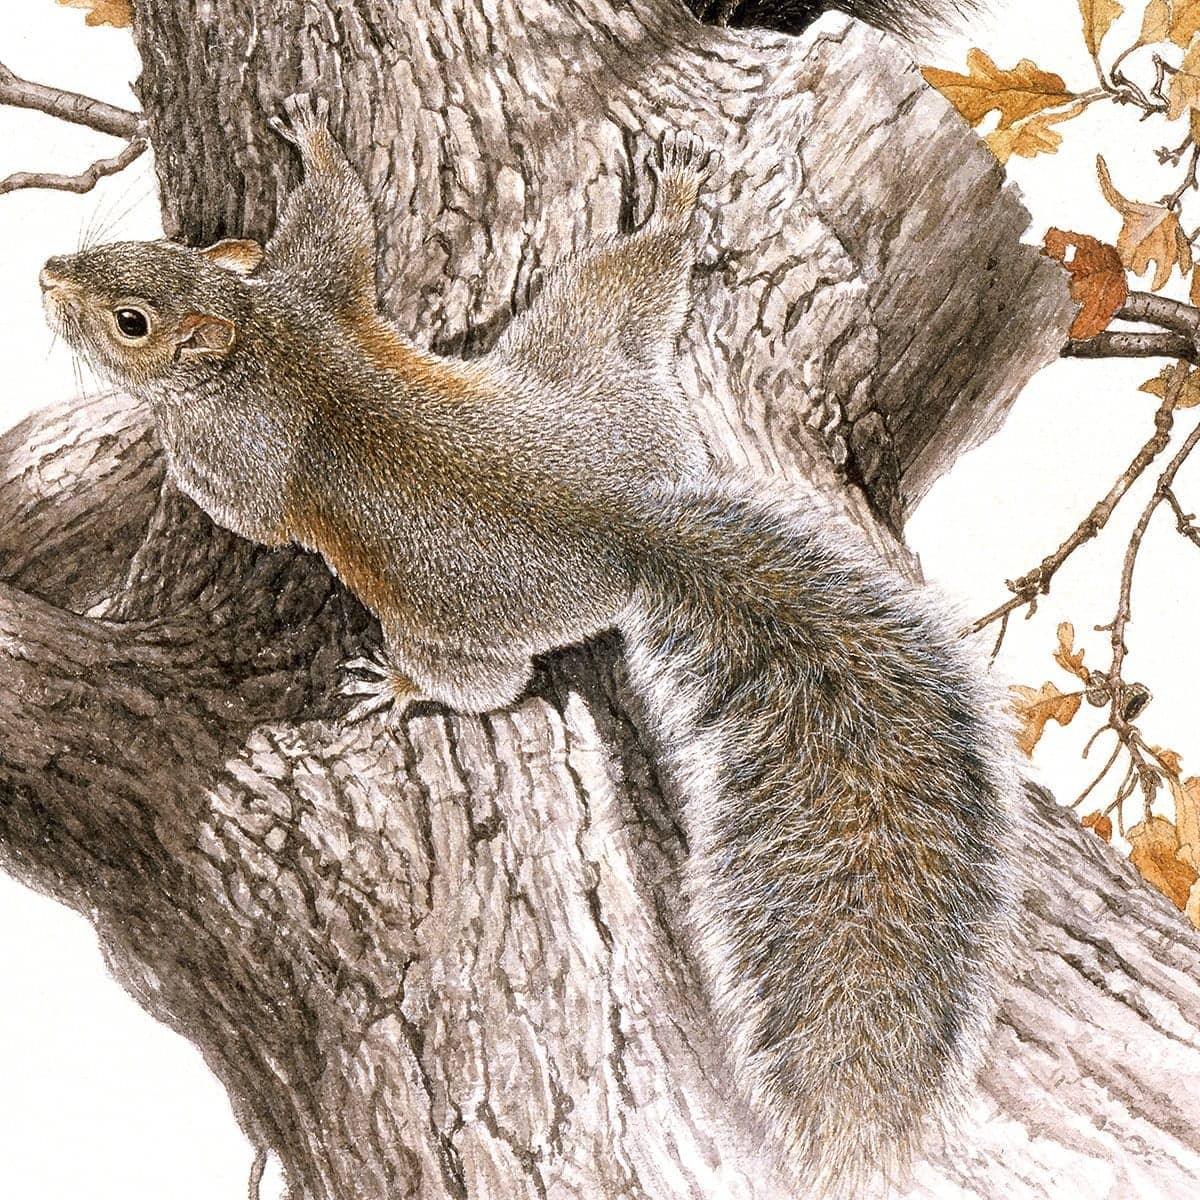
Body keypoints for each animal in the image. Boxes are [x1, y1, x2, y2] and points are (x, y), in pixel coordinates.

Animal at [41, 95, 1017, 1195]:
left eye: (131, 321)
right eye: (139, 251)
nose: (48, 275)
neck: (259, 340)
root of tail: (628, 523)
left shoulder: (254, 438)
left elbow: (244, 502)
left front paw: (162, 452)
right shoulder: (320, 291)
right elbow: (344, 221)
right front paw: (317, 142)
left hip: (457, 608)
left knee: (491, 682)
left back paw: (404, 686)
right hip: (591, 369)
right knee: (628, 289)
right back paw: (678, 207)